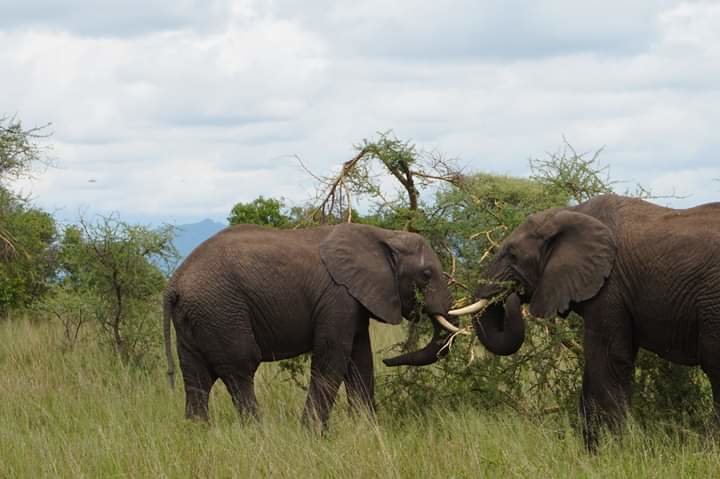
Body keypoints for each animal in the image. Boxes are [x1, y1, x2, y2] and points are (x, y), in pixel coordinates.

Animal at [163, 223, 458, 430]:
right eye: (426, 274)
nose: (390, 359)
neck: (382, 235)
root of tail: (174, 284)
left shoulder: (354, 299)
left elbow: (360, 360)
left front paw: (368, 431)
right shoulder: (337, 296)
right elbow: (332, 358)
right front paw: (313, 434)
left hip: (196, 319)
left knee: (197, 377)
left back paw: (198, 433)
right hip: (221, 311)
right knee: (240, 370)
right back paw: (258, 434)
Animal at [448, 194, 720, 450]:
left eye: (512, 255)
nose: (513, 294)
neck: (569, 213)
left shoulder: (610, 287)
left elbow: (608, 357)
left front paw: (609, 450)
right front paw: (592, 449)